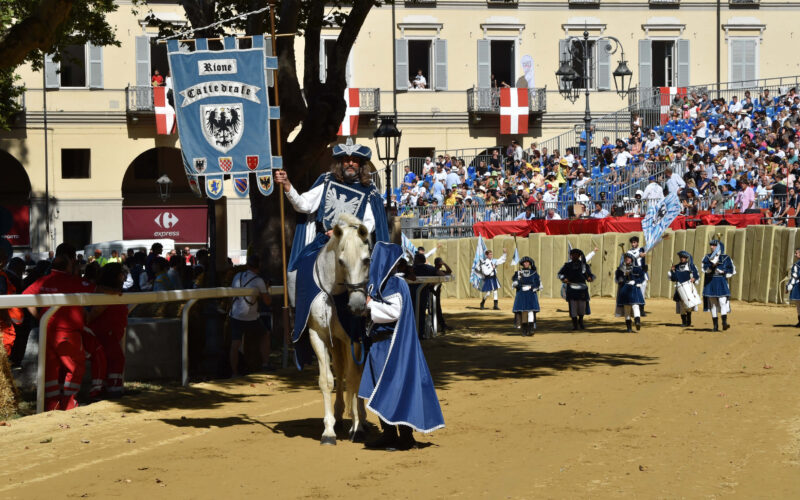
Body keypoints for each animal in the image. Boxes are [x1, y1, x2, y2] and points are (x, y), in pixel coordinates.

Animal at [306, 214, 372, 446]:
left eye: (367, 260)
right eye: (341, 261)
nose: (357, 306)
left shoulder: (354, 339)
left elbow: (354, 379)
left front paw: (357, 427)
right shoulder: (318, 336)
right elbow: (327, 381)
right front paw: (328, 430)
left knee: (357, 376)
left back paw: (359, 418)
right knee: (341, 371)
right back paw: (339, 415)